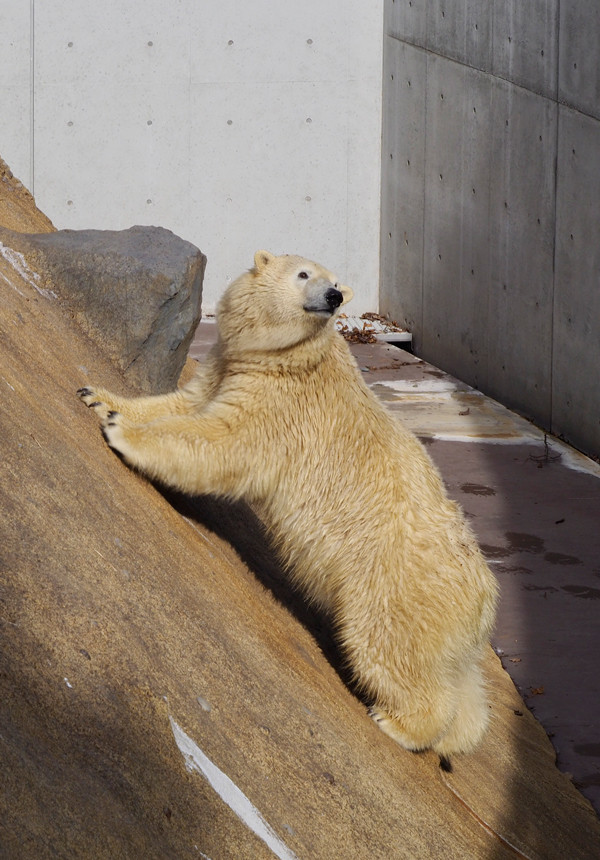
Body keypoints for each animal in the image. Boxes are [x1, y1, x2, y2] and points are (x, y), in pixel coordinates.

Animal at [78, 249, 496, 764]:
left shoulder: (281, 401)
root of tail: (485, 601)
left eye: (337, 283)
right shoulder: (230, 365)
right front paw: (100, 397)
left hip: (391, 585)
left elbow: (225, 440)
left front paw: (122, 432)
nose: (333, 296)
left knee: (385, 647)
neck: (287, 355)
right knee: (464, 683)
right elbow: (185, 403)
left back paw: (398, 723)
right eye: (304, 274)